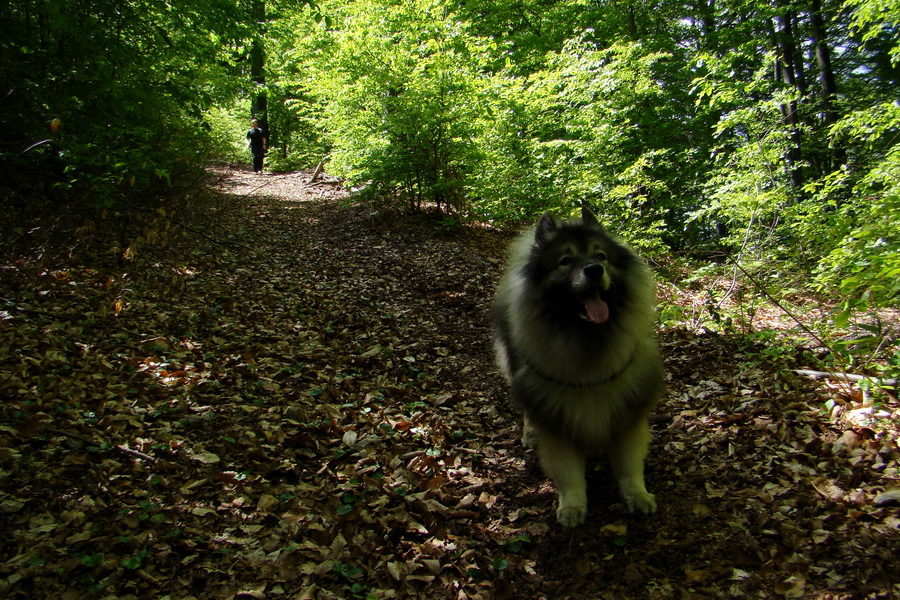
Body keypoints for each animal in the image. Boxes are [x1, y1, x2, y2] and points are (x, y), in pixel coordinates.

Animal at [492, 209, 660, 528]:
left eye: (601, 256)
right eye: (566, 261)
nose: (594, 270)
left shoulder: (629, 410)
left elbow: (630, 464)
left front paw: (638, 495)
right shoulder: (556, 420)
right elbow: (569, 473)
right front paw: (572, 506)